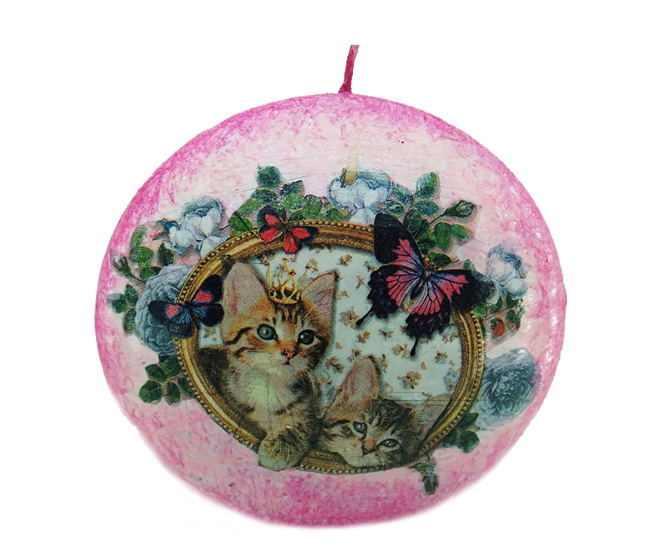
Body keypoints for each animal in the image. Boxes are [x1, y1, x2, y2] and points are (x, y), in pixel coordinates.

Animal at [197, 262, 335, 471]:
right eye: (266, 332)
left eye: (306, 337)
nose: (289, 352)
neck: (268, 386)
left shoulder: (311, 414)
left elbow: (304, 425)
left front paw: (280, 446)